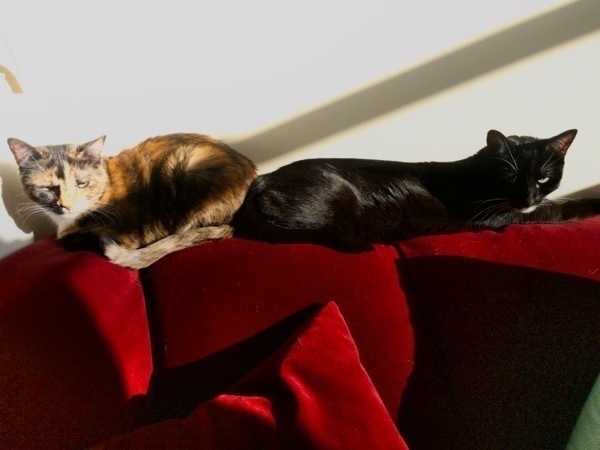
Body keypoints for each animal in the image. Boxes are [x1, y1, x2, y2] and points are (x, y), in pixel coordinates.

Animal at [233, 128, 600, 251]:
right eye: (509, 175)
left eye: (543, 178)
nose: (527, 197)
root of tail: (259, 182)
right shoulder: (497, 215)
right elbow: (556, 209)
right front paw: (592, 202)